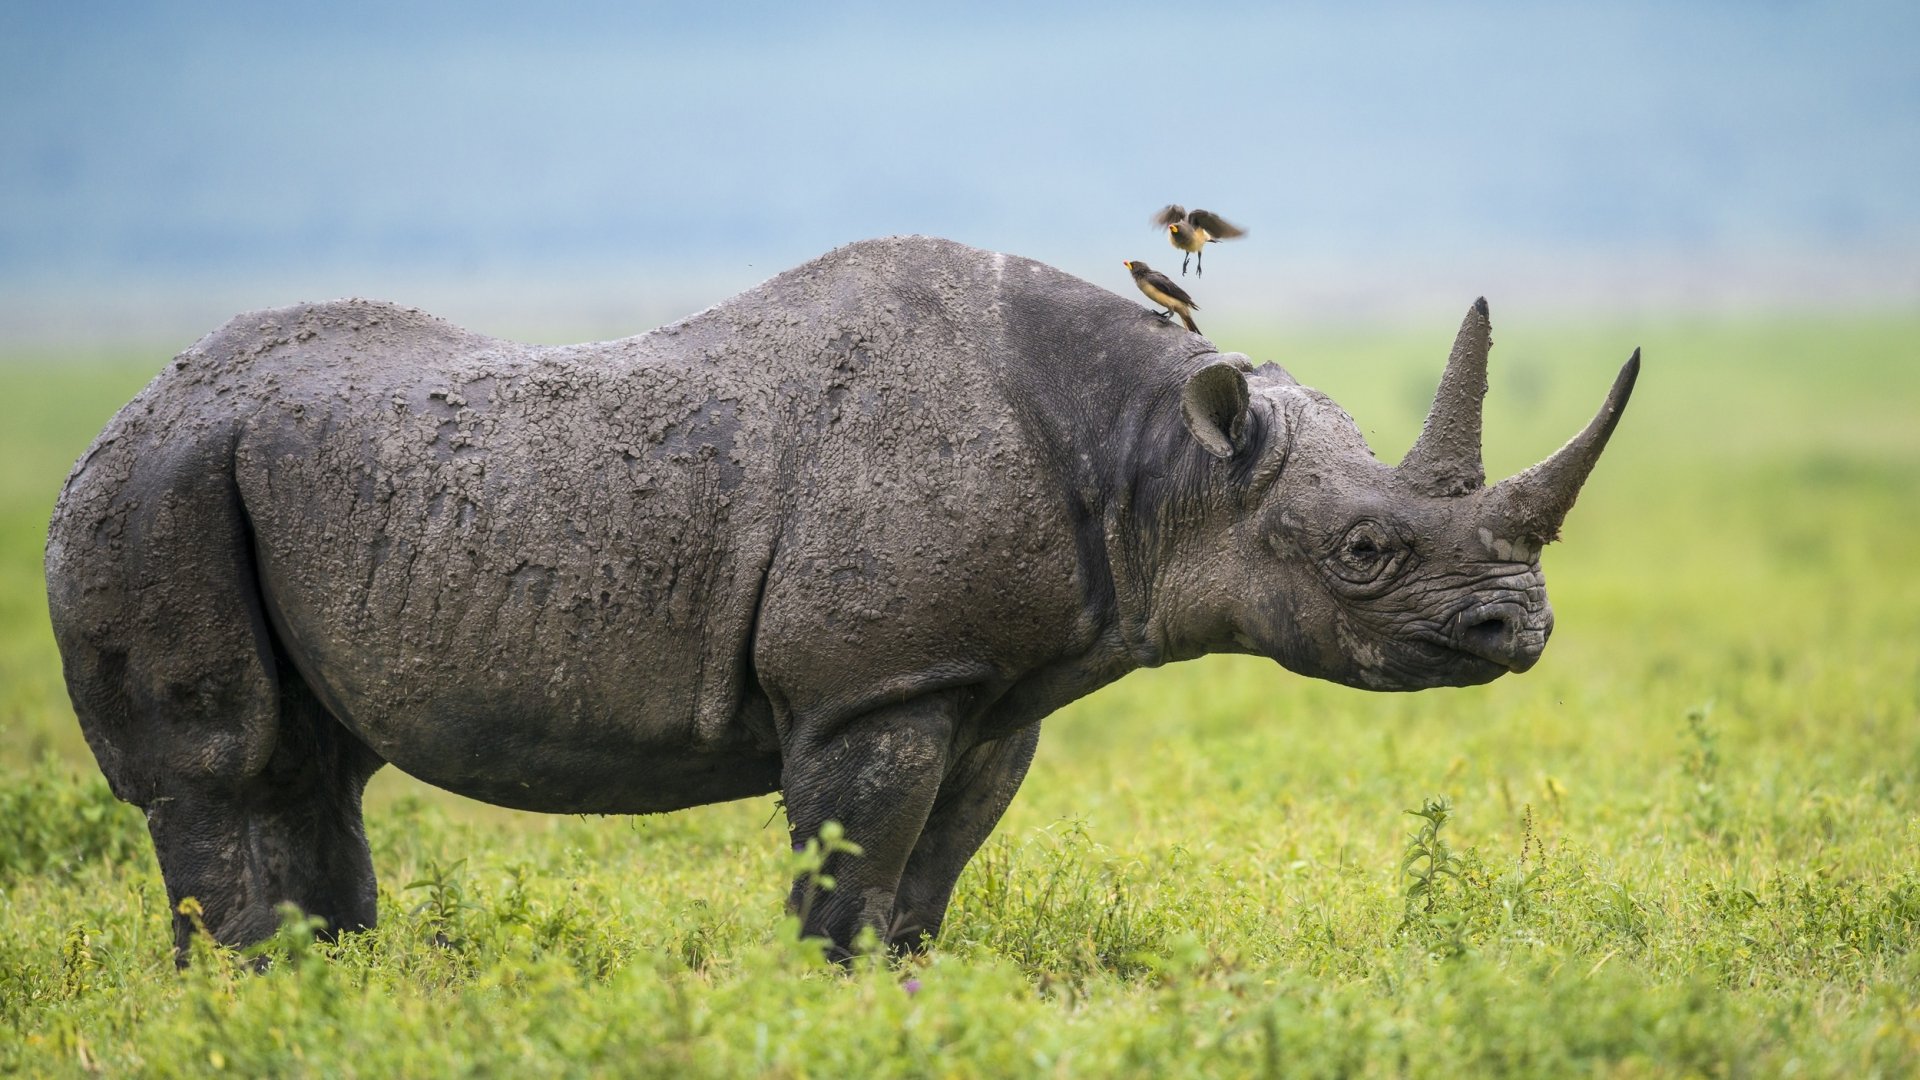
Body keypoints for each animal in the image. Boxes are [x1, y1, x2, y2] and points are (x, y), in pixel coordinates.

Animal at [45, 236, 1637, 962]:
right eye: (1365, 553)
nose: (1517, 631)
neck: (1162, 457)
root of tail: (110, 423)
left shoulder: (987, 685)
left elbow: (929, 875)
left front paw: (907, 994)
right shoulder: (877, 683)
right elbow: (851, 864)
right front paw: (826, 998)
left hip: (250, 480)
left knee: (316, 770)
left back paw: (331, 987)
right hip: (155, 492)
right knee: (221, 771)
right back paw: (253, 990)